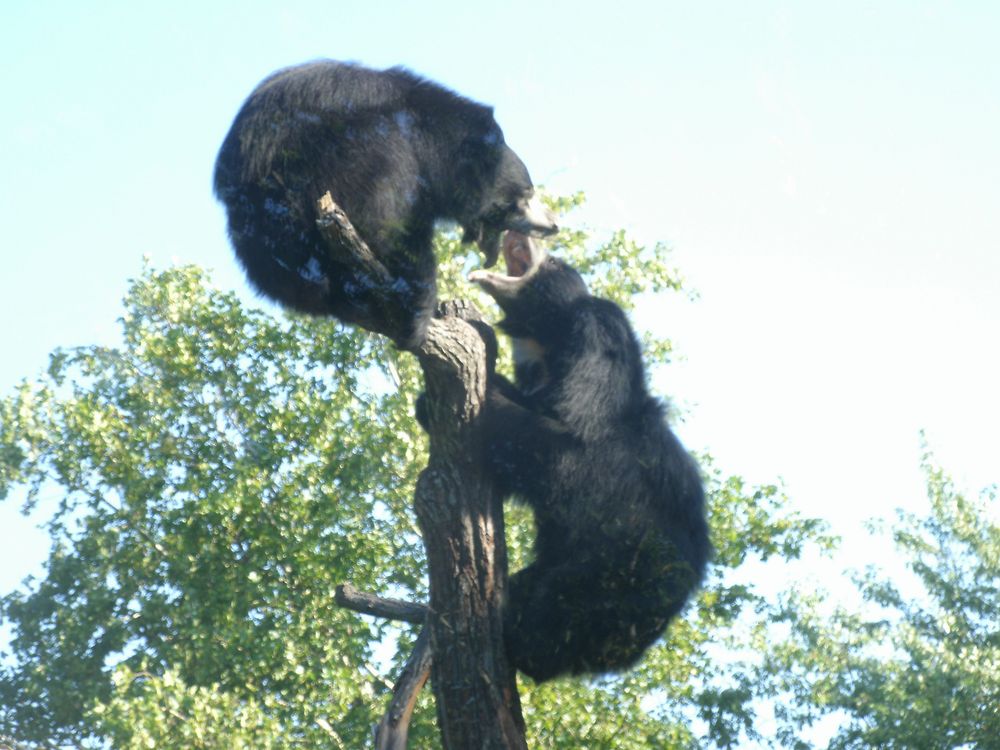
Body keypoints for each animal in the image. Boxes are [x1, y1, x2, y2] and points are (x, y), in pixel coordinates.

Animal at [472, 235, 708, 688]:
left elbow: (562, 436)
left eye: (554, 258)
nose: (517, 233)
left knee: (561, 605)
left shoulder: (598, 334)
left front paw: (486, 394)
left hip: (612, 575)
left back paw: (524, 639)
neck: (545, 340)